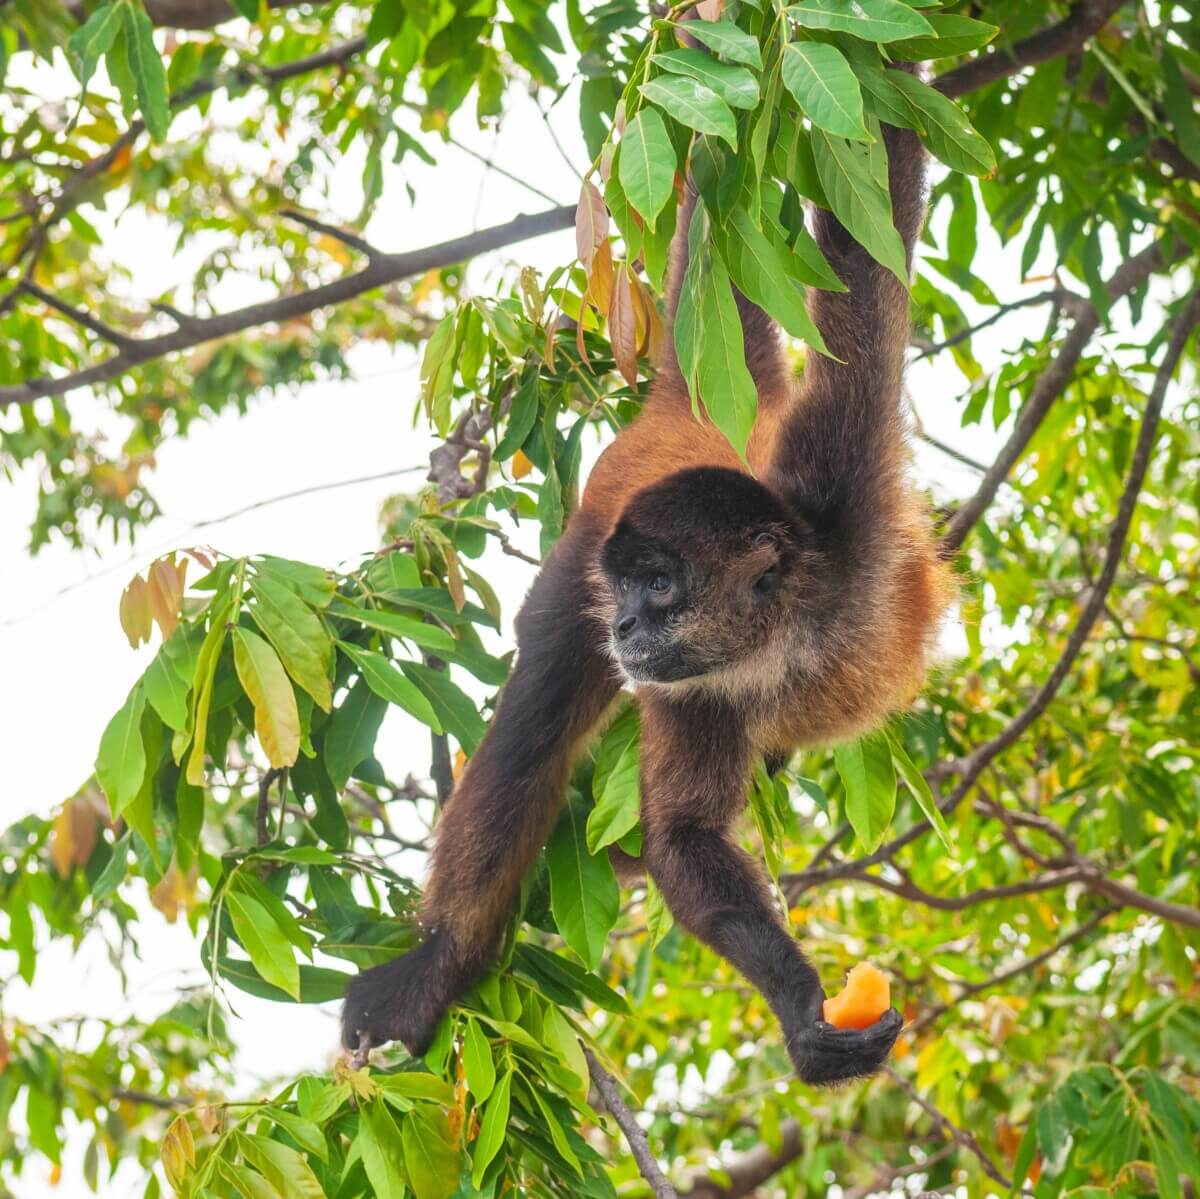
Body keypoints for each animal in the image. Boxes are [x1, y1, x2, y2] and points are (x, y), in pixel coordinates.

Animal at [342, 70, 953, 1086]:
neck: (794, 630)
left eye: (661, 586)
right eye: (631, 589)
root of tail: (687, 411)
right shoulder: (692, 676)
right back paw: (438, 963)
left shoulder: (839, 485)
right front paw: (801, 1010)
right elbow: (682, 838)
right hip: (575, 572)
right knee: (538, 716)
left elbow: (872, 253)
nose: (625, 624)